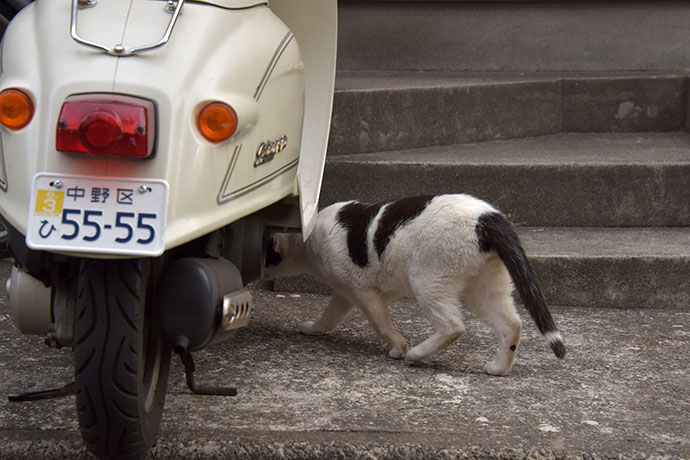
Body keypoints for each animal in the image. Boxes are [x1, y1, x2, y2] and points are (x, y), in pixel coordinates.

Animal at [264, 192, 564, 376]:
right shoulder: (345, 293)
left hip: (427, 280)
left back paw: (416, 355)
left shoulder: (362, 291)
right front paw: (314, 328)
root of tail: (488, 217)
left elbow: (381, 324)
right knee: (512, 324)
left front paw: (399, 347)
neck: (306, 241)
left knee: (454, 326)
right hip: (484, 290)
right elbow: (329, 317)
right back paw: (499, 368)